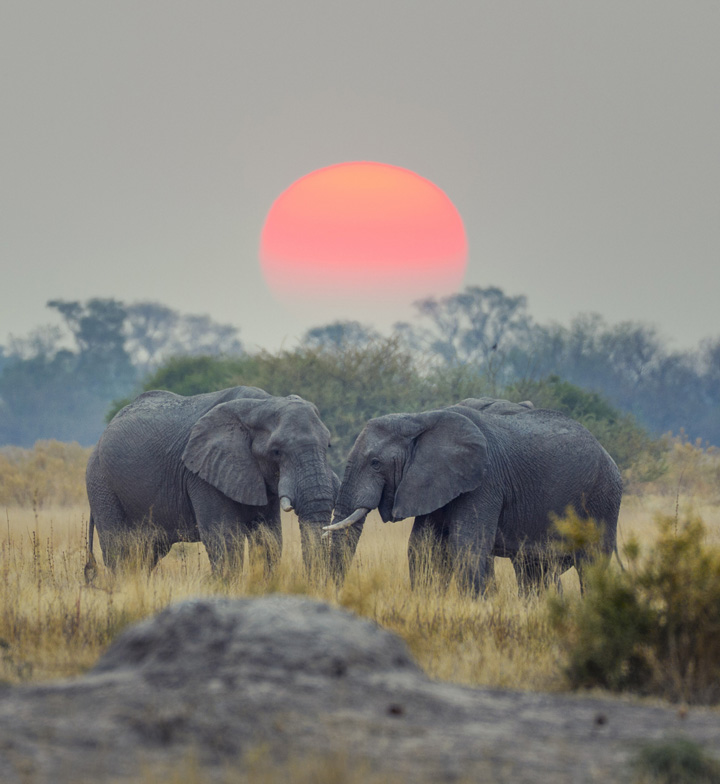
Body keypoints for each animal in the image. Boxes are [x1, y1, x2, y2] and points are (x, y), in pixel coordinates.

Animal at [86, 386, 338, 575]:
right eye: (276, 451)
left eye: (328, 445)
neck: (263, 404)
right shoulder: (201, 473)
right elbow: (225, 539)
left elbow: (269, 539)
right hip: (101, 483)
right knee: (119, 550)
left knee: (147, 553)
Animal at [324, 400, 622, 596]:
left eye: (375, 463)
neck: (420, 418)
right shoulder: (433, 481)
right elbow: (423, 546)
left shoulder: (485, 481)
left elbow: (468, 544)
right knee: (534, 569)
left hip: (602, 498)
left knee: (591, 564)